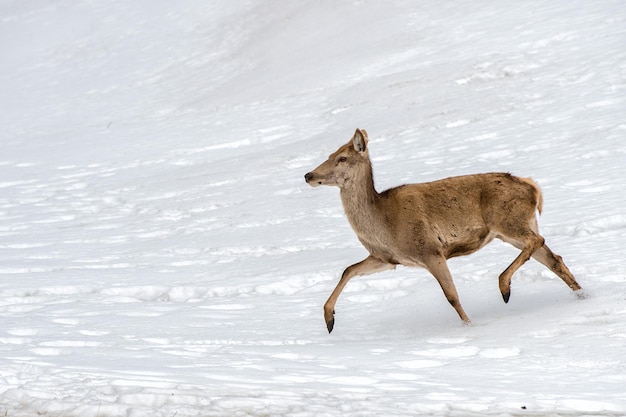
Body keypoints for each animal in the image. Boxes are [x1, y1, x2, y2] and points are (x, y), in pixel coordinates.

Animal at [304, 128, 584, 334]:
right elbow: (348, 269)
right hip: (513, 228)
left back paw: (505, 287)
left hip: (508, 221)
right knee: (552, 257)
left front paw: (469, 326)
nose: (308, 175)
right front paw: (329, 319)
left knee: (538, 241)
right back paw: (581, 294)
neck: (384, 223)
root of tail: (533, 187)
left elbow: (451, 296)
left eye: (342, 158)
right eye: (330, 154)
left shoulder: (430, 250)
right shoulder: (388, 258)